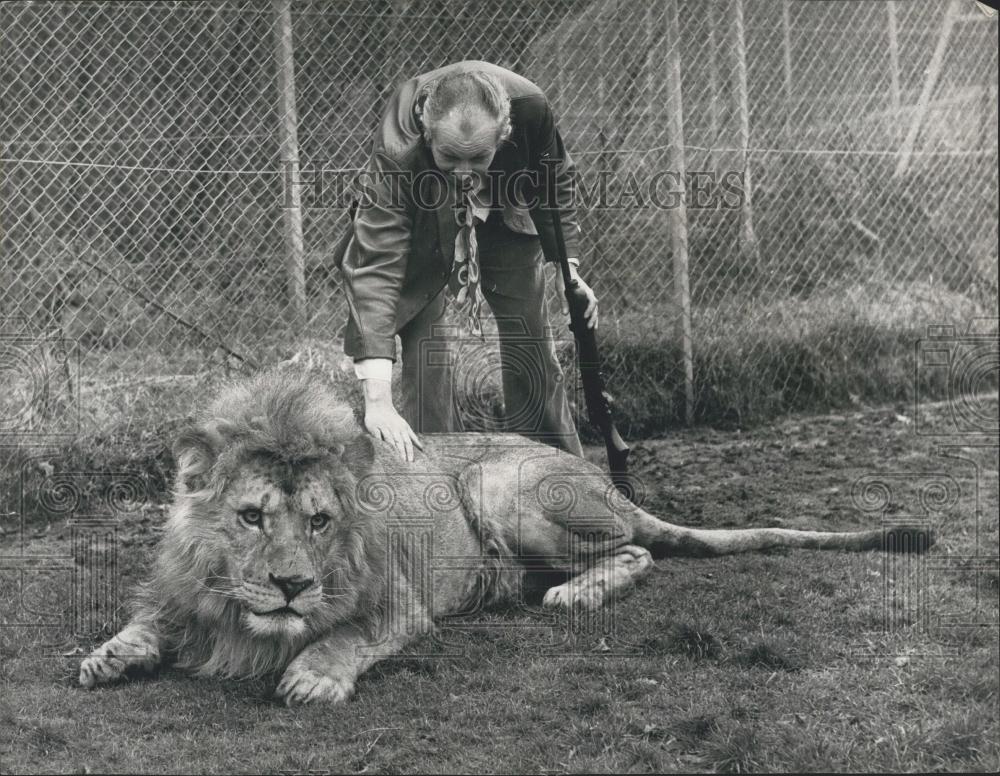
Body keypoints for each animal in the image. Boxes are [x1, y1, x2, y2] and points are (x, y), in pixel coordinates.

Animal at [82, 364, 932, 704]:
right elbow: (146, 619)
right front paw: (110, 656)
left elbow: (344, 636)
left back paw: (572, 595)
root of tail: (597, 476)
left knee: (640, 549)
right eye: (252, 516)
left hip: (501, 489)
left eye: (320, 522)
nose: (292, 585)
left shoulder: (396, 606)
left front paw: (314, 675)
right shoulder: (183, 594)